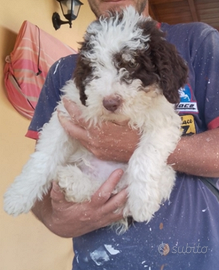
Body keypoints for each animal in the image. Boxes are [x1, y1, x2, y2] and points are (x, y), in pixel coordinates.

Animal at [3, 6, 188, 232]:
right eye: (95, 67)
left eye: (131, 63)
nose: (110, 103)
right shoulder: (67, 115)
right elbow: (44, 156)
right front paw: (18, 196)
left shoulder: (163, 122)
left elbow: (144, 156)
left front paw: (142, 202)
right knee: (99, 195)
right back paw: (70, 181)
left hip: (167, 173)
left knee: (113, 195)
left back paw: (72, 181)